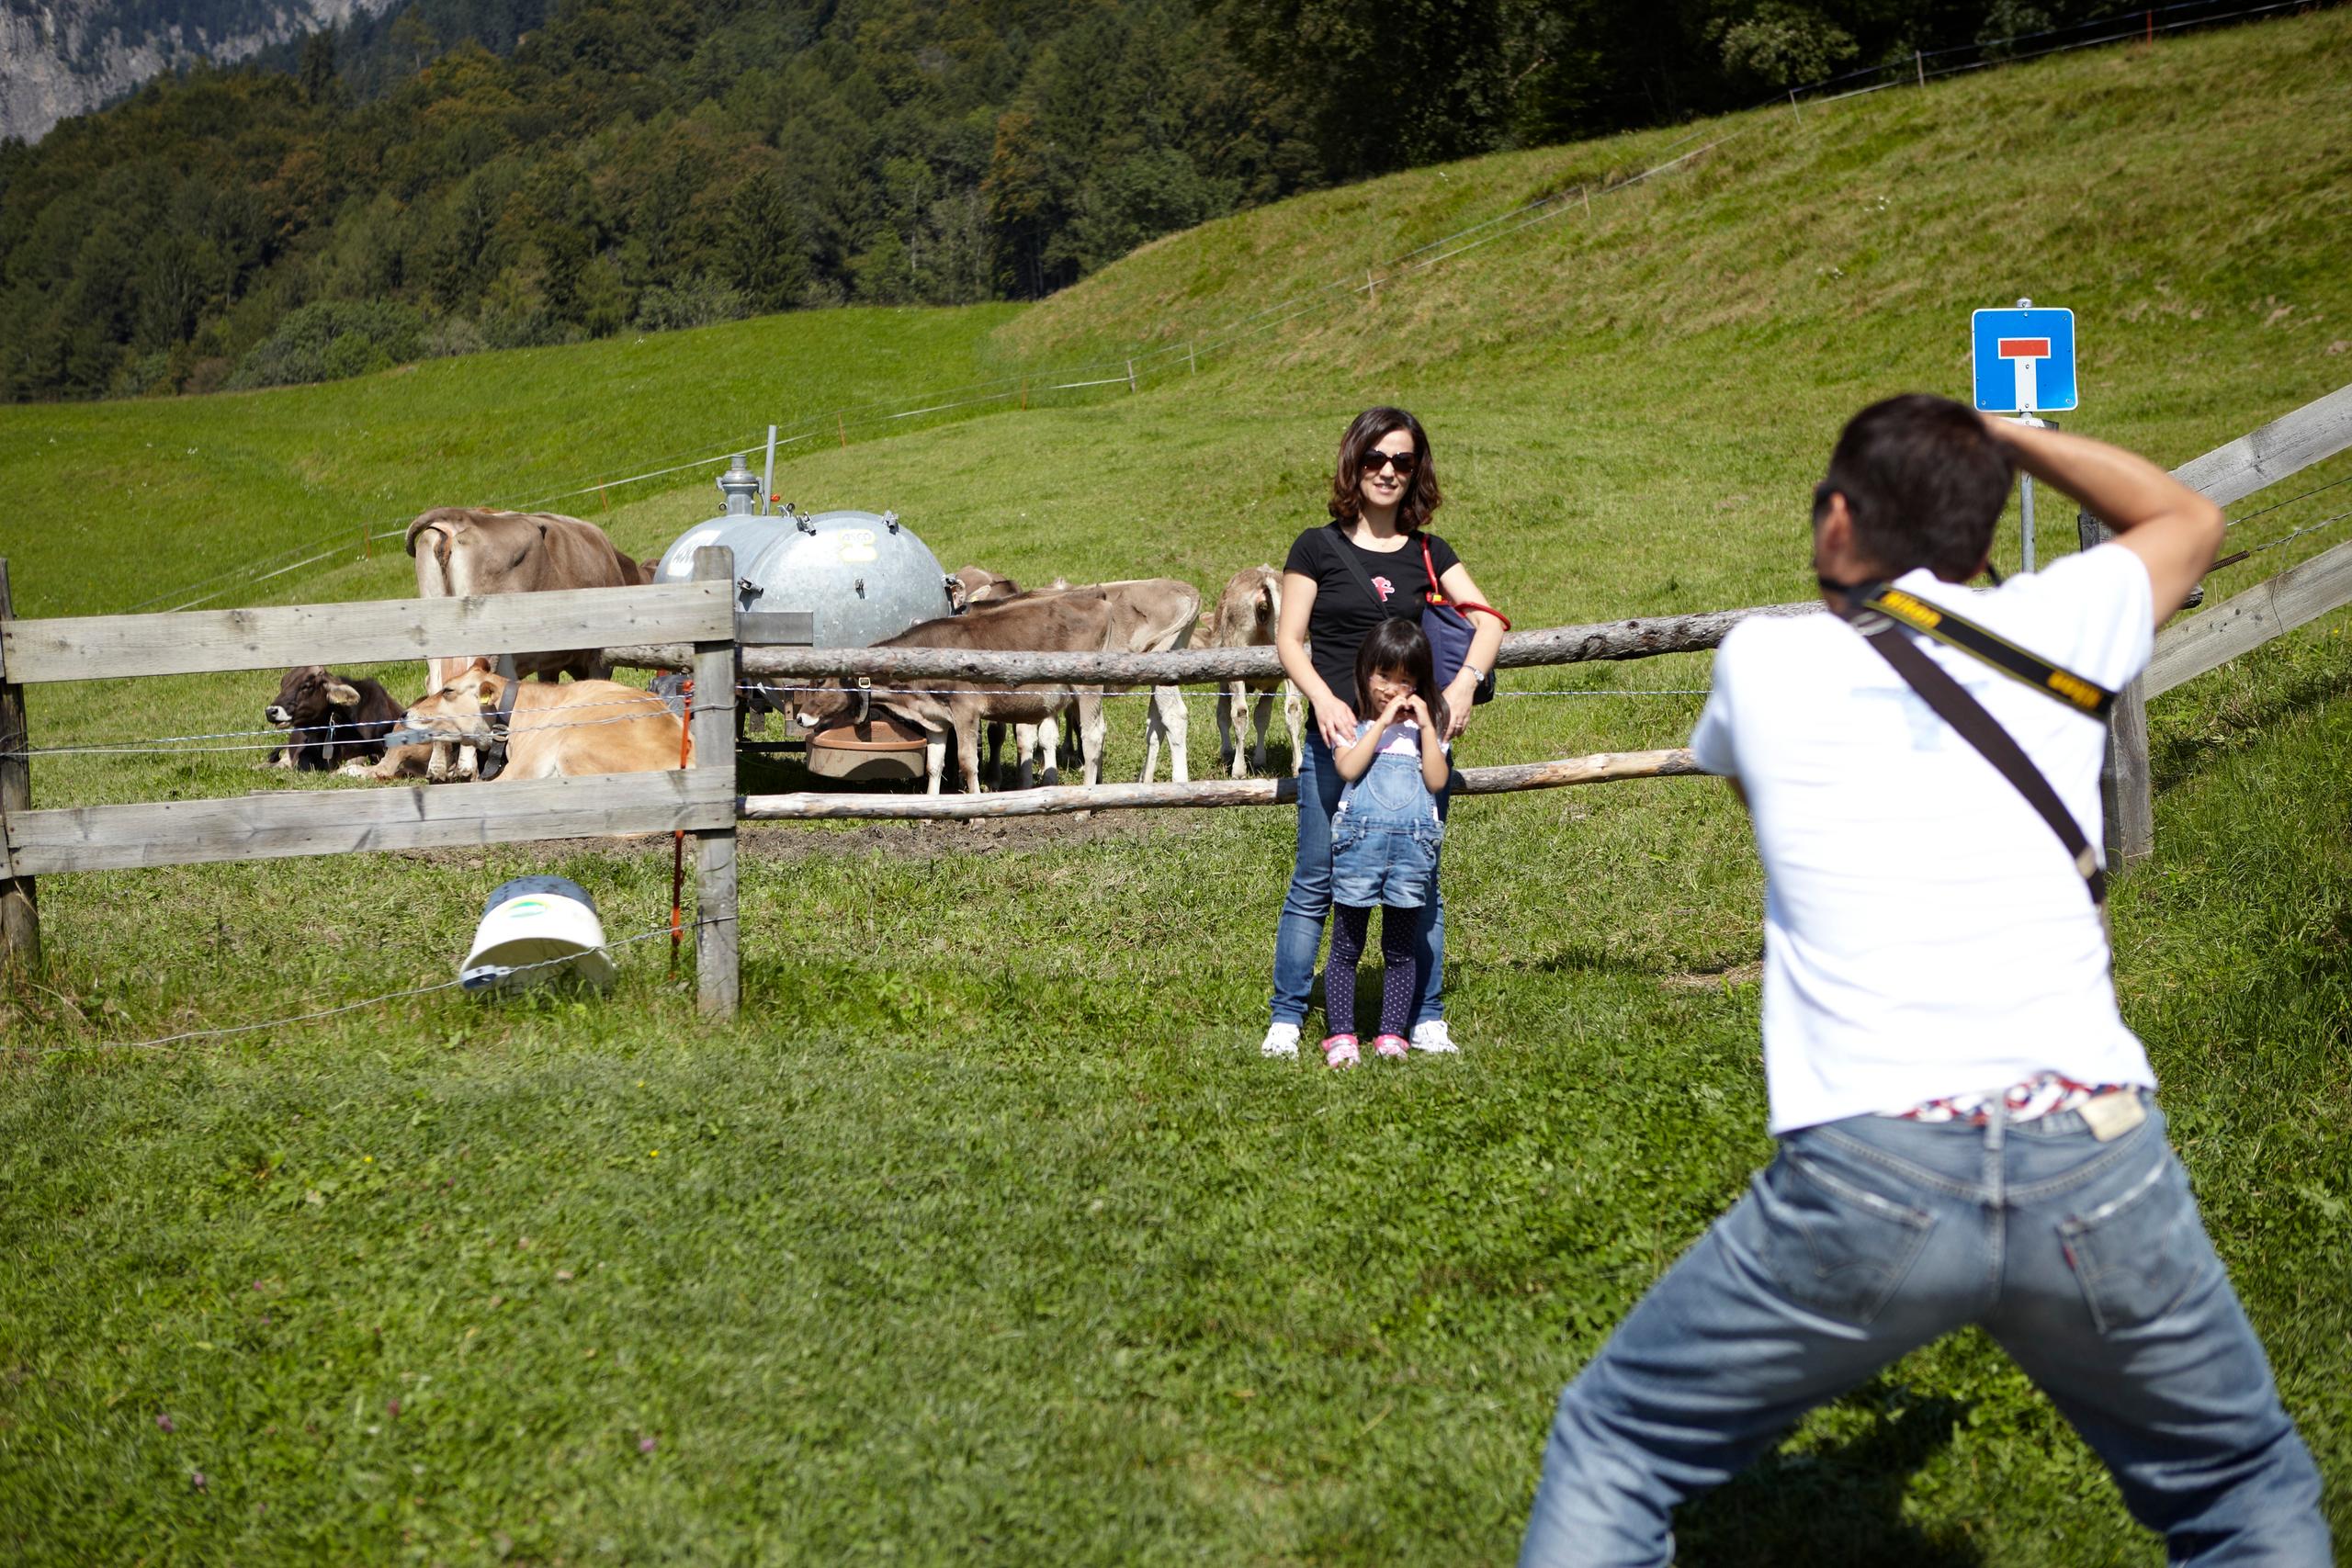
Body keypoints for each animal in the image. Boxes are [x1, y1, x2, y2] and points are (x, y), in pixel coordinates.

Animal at [1213, 566, 1307, 780]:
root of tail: (1265, 578)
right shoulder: (1272, 684)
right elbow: (1263, 716)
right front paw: (1260, 759)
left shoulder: (1224, 681)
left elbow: (1223, 713)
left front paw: (1227, 753)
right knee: (1293, 709)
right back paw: (1297, 766)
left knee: (1239, 712)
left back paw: (1238, 770)